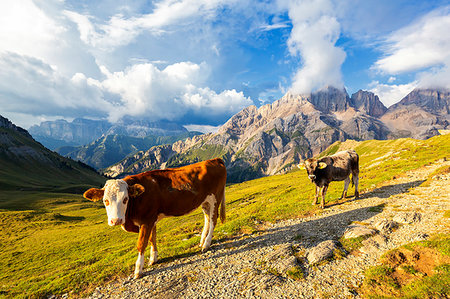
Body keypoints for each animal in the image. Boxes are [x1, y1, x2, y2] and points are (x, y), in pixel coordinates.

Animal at [83, 159, 227, 278]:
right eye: (105, 200)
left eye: (125, 199)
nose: (116, 220)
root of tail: (215, 160)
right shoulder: (151, 219)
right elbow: (152, 238)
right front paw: (153, 258)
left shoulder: (147, 220)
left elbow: (141, 243)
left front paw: (138, 270)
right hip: (205, 201)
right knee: (207, 218)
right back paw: (202, 241)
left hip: (216, 197)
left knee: (213, 220)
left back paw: (206, 244)